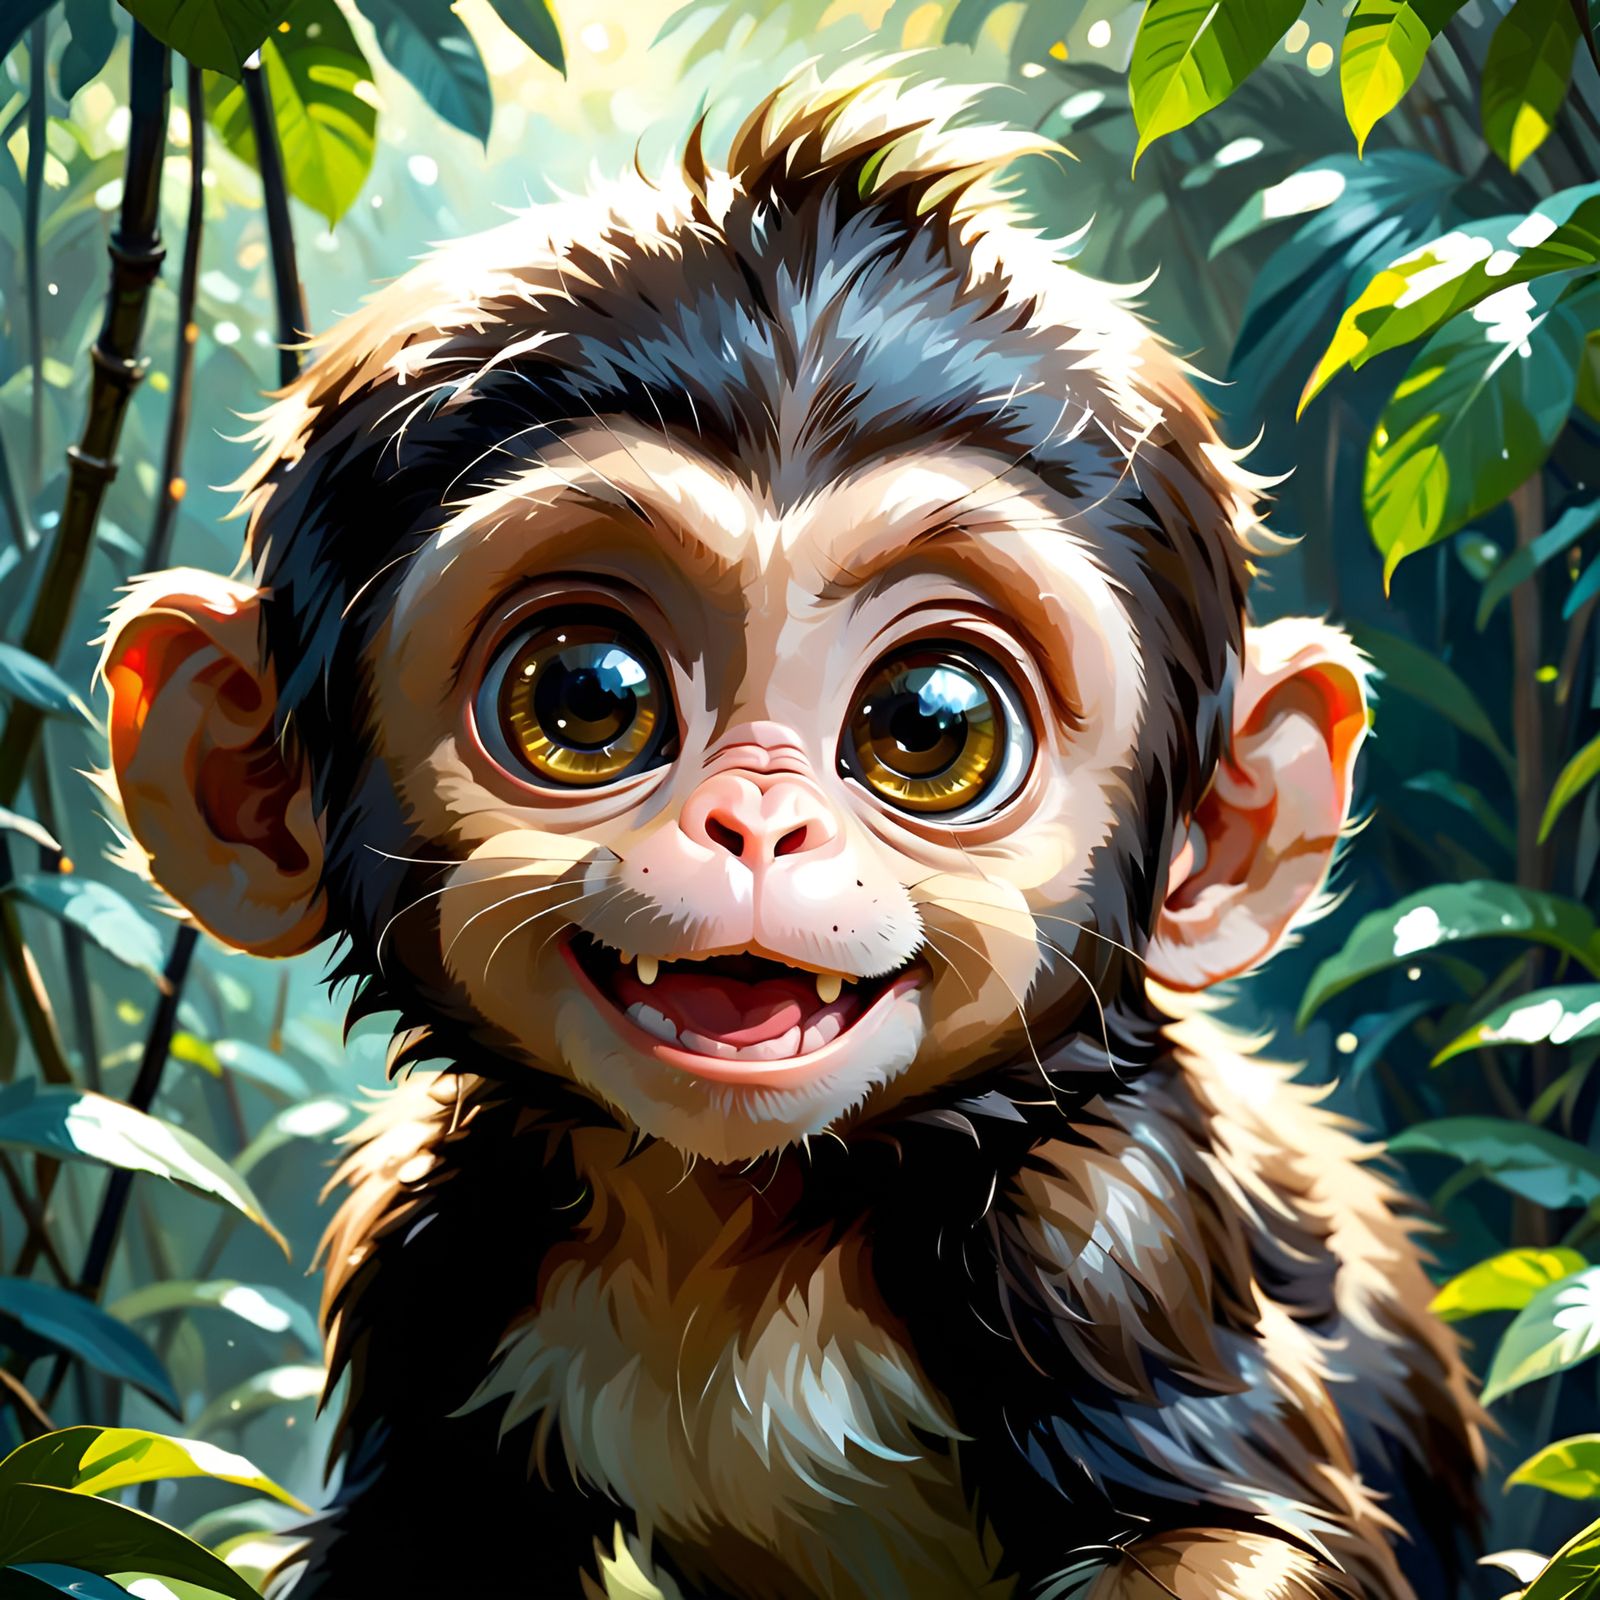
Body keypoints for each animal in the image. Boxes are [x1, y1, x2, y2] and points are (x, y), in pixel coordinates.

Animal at [99, 64, 1484, 1600]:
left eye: (928, 723)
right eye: (586, 695)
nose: (756, 825)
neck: (742, 1226)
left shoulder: (1109, 1229)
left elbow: (1225, 1535)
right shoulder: (435, 1238)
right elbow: (426, 1531)